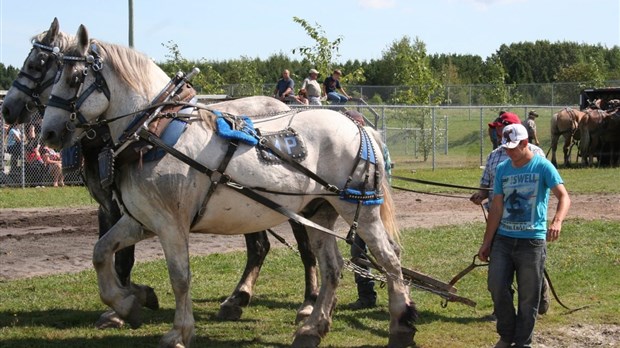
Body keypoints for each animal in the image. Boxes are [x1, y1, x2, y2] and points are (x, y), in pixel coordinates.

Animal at [3, 19, 320, 328]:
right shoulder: (110, 205)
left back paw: (307, 303)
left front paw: (120, 309)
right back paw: (237, 299)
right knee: (259, 246)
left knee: (304, 247)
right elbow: (108, 250)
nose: (8, 108)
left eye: (38, 64)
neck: (146, 126)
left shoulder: (126, 206)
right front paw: (134, 296)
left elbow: (124, 259)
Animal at [40, 25, 416, 348]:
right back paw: (313, 328)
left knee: (389, 257)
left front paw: (179, 332)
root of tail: (357, 124)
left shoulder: (171, 224)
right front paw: (127, 305)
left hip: (357, 209)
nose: (49, 133)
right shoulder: (141, 220)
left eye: (74, 78)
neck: (153, 130)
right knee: (332, 267)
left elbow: (180, 276)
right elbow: (101, 252)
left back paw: (401, 325)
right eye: (51, 73)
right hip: (318, 211)